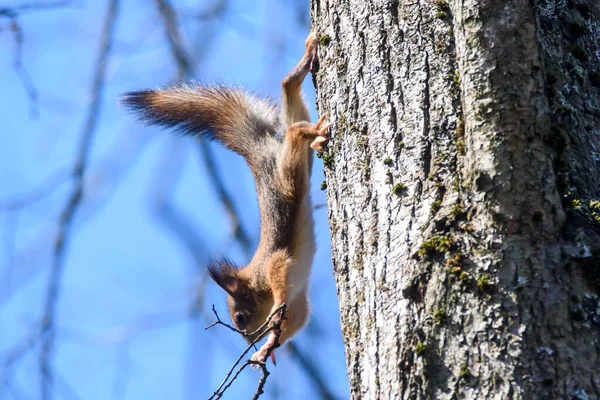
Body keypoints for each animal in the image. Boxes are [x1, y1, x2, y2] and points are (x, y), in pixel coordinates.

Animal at [121, 33, 328, 366]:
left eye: (240, 317)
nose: (248, 340)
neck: (256, 283)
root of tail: (259, 152)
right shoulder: (299, 306)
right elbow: (296, 322)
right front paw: (266, 348)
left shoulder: (272, 267)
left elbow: (281, 276)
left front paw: (273, 317)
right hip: (300, 164)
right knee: (290, 100)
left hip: (286, 174)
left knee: (295, 131)